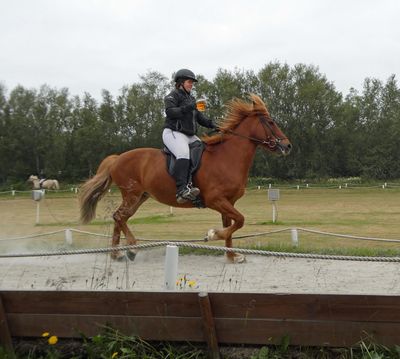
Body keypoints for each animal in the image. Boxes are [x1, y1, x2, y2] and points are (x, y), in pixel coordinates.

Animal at [79, 95, 290, 264]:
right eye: (270, 122)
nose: (288, 146)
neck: (227, 157)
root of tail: (117, 158)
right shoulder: (216, 200)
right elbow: (239, 221)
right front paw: (212, 235)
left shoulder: (228, 202)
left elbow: (231, 226)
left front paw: (231, 256)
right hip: (132, 194)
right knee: (118, 217)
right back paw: (131, 248)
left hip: (140, 197)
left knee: (120, 217)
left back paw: (117, 254)